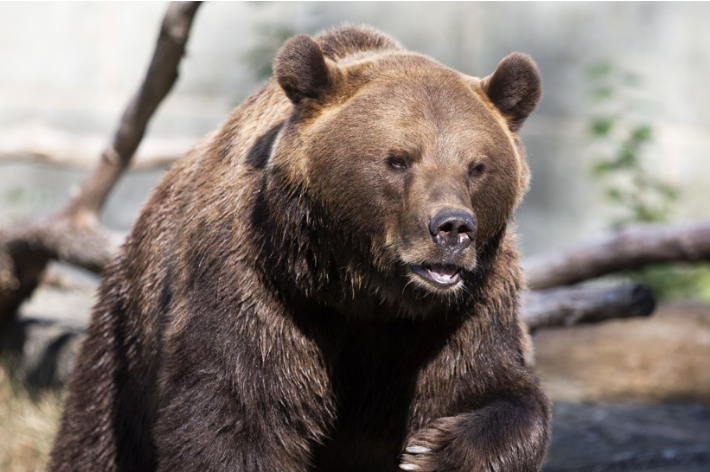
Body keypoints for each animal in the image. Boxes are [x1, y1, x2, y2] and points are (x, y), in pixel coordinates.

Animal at [50, 24, 552, 472]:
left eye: (477, 166)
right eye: (398, 160)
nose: (452, 228)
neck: (360, 291)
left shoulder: (463, 310)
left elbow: (495, 390)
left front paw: (432, 450)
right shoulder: (257, 288)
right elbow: (234, 415)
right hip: (127, 337)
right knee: (97, 433)